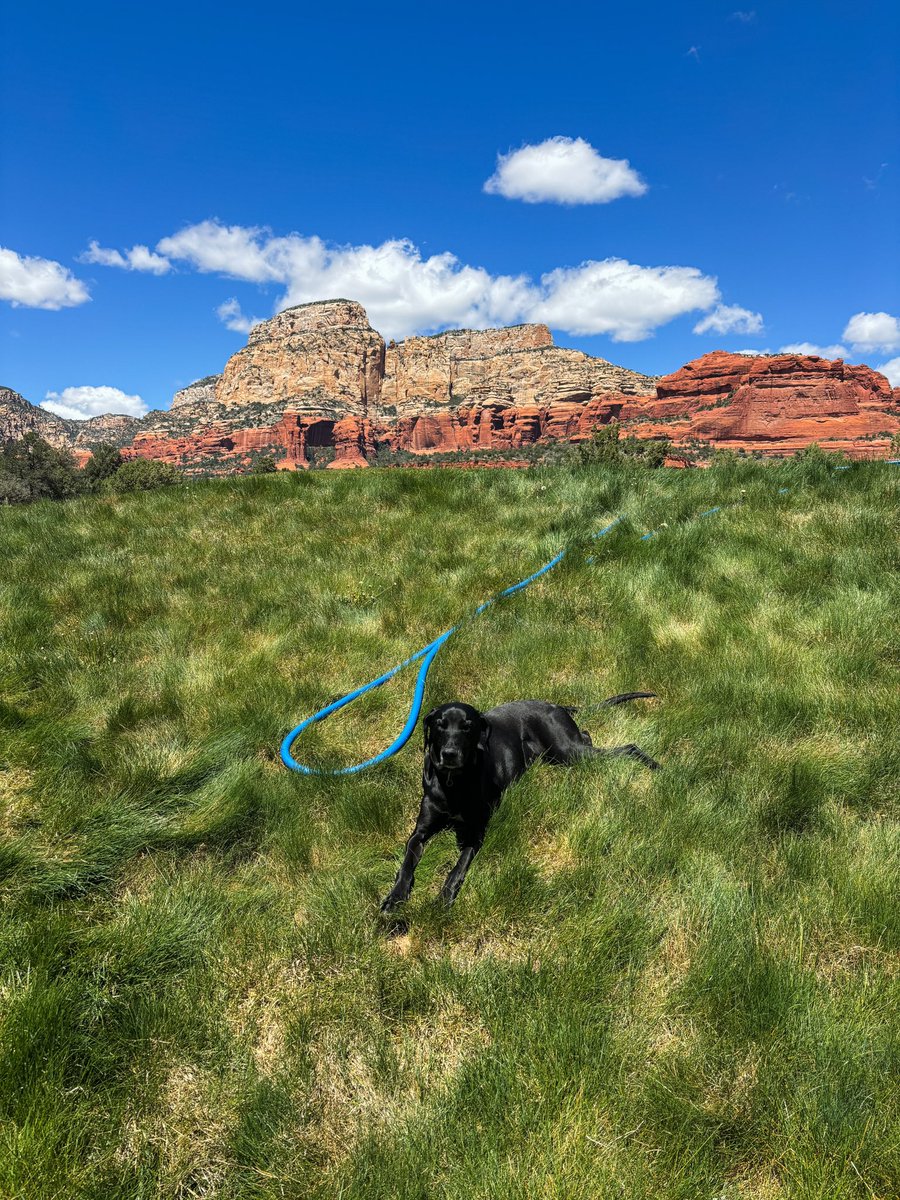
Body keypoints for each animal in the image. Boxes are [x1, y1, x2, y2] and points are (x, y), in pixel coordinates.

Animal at [376, 696, 657, 907]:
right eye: (439, 724)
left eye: (468, 726)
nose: (450, 754)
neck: (453, 783)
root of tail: (554, 704)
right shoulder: (420, 831)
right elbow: (406, 864)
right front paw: (395, 897)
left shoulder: (475, 835)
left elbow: (457, 867)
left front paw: (444, 897)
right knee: (587, 735)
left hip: (567, 751)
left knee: (627, 748)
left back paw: (657, 767)